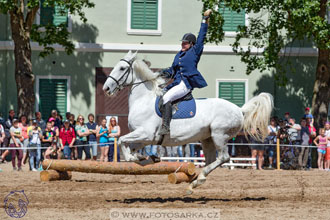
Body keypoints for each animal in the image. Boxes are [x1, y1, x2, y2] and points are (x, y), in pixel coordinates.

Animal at [103, 50, 274, 193]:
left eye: (122, 68)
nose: (106, 89)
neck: (143, 100)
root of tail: (239, 109)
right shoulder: (144, 139)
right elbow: (130, 149)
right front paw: (148, 158)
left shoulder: (146, 134)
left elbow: (122, 142)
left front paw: (137, 158)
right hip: (207, 139)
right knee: (211, 159)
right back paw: (196, 181)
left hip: (219, 135)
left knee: (223, 158)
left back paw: (199, 179)